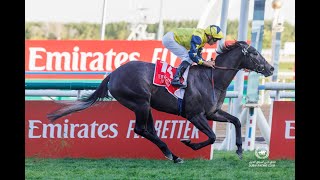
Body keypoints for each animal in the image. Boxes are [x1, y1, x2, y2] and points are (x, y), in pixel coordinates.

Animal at [47, 40, 272, 163]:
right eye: (254, 53)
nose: (270, 68)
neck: (212, 78)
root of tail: (113, 73)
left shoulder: (212, 112)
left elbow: (236, 120)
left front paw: (240, 149)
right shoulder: (195, 115)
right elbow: (211, 136)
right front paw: (190, 143)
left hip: (146, 106)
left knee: (150, 130)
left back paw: (171, 154)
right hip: (140, 103)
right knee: (141, 129)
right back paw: (172, 154)